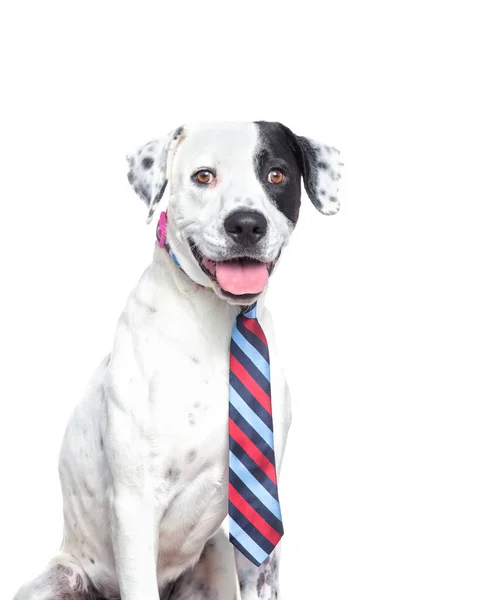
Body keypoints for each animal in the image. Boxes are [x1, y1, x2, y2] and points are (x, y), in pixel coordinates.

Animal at [14, 122, 340, 600]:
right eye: (204, 176)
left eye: (277, 175)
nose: (246, 223)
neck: (218, 324)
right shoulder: (134, 507)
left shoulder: (261, 505)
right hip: (58, 578)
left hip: (216, 553)